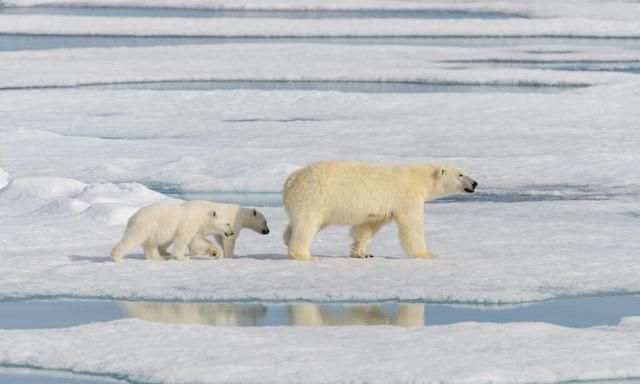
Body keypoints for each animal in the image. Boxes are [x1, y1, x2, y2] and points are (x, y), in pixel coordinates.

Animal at [282, 160, 478, 262]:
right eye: (460, 175)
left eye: (465, 172)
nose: (475, 183)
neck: (419, 178)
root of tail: (291, 180)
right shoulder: (407, 197)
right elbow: (412, 226)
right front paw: (427, 254)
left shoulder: (381, 207)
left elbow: (366, 227)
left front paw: (362, 252)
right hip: (314, 196)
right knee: (307, 225)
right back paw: (304, 255)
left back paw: (287, 238)